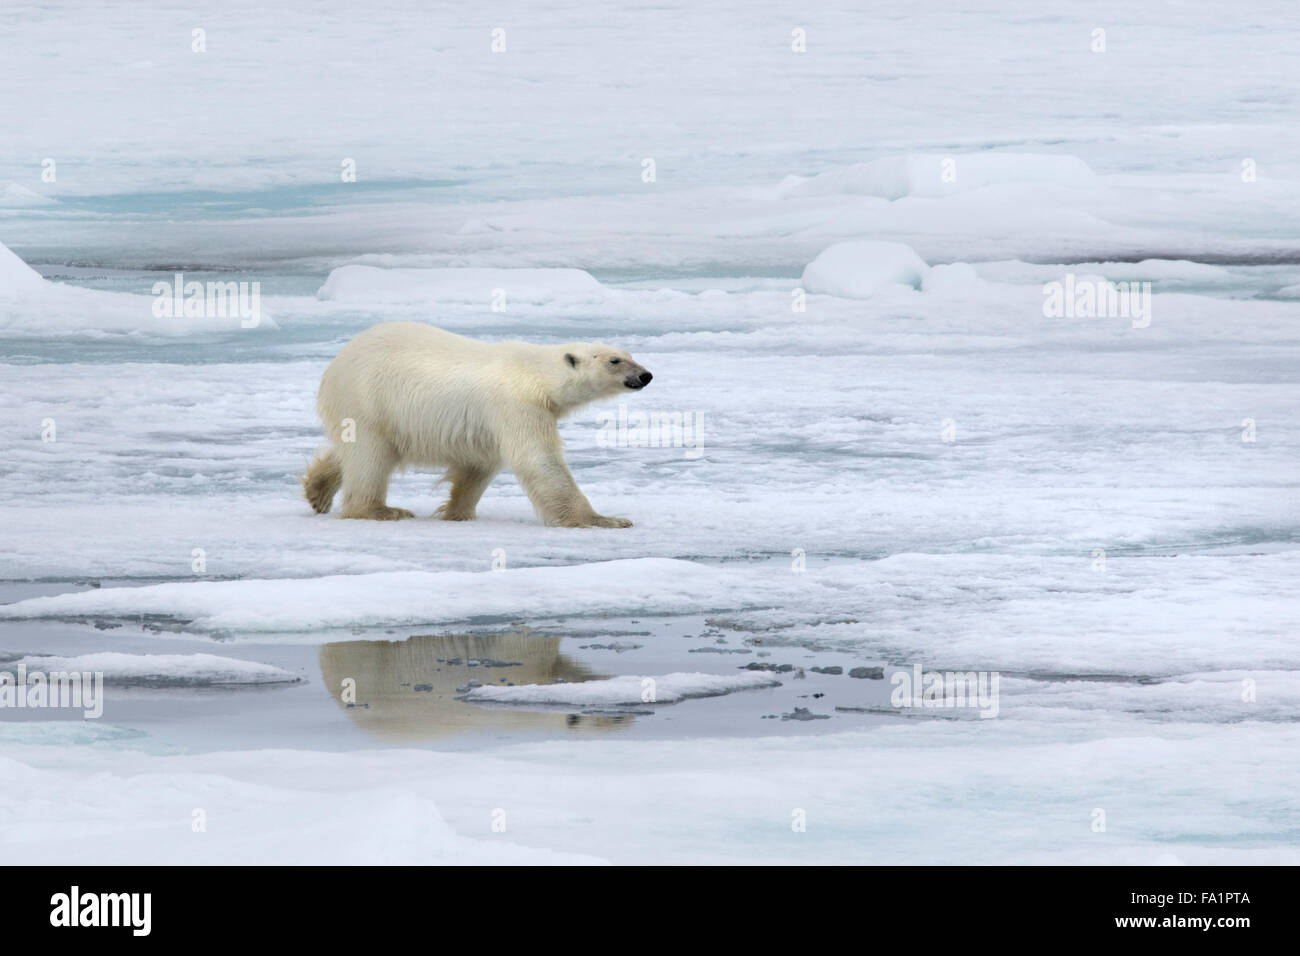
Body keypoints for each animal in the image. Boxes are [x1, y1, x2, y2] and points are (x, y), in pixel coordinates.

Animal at [301, 323, 650, 530]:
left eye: (630, 354)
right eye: (614, 361)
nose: (645, 375)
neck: (535, 373)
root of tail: (336, 363)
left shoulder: (490, 423)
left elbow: (480, 463)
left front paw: (458, 512)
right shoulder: (516, 404)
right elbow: (538, 459)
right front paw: (604, 519)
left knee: (353, 450)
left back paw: (318, 491)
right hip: (367, 399)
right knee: (370, 455)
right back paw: (381, 510)